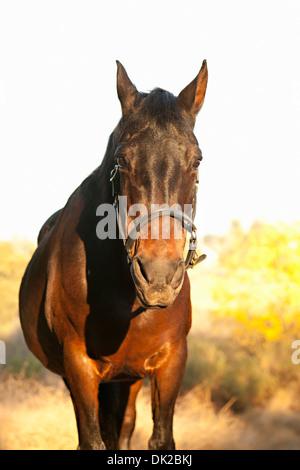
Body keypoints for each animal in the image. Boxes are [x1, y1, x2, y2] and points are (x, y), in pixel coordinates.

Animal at [17, 60, 207, 450]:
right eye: (122, 158)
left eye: (196, 161)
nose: (158, 277)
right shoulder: (79, 366)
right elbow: (92, 439)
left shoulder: (171, 362)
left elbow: (158, 438)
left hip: (128, 378)